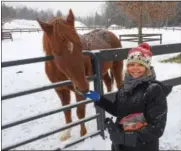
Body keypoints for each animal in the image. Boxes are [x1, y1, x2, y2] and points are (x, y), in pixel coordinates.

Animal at [37, 9, 123, 142]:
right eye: (58, 53)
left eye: (80, 46)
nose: (84, 87)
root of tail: (110, 33)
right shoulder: (61, 90)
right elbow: (66, 111)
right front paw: (66, 134)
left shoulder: (78, 91)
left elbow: (80, 112)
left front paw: (83, 135)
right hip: (102, 71)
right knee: (109, 83)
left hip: (117, 67)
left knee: (119, 84)